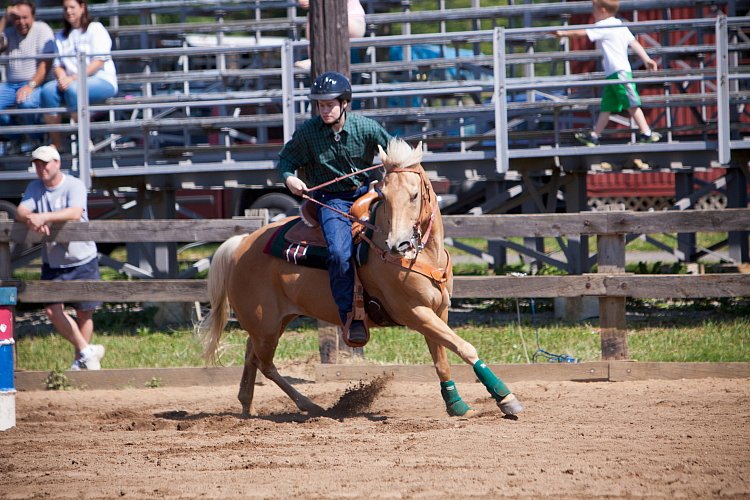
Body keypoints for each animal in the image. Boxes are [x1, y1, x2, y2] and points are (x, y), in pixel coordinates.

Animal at [201, 138, 528, 418]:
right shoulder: (415, 313)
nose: (398, 245)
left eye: (414, 195)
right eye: (383, 196)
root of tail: (240, 244)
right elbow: (464, 347)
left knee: (252, 356)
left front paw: (456, 404)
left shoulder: (438, 312)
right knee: (265, 363)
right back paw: (309, 406)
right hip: (266, 326)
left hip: (274, 322)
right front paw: (506, 398)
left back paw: (247, 407)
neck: (422, 256)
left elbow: (442, 361)